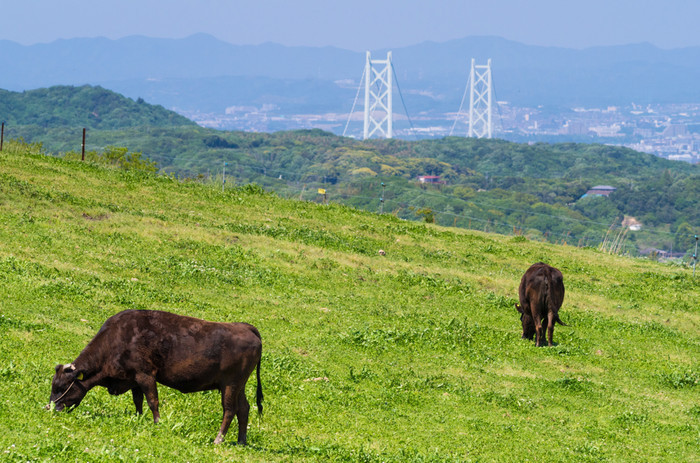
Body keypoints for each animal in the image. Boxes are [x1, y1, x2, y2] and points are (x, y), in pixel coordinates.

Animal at [47, 312, 264, 446]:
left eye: (61, 387)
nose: (50, 408)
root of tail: (245, 327)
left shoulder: (146, 375)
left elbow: (153, 401)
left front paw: (157, 423)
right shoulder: (133, 378)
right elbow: (138, 400)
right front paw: (138, 418)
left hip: (230, 384)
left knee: (229, 410)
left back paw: (218, 439)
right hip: (239, 386)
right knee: (244, 408)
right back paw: (241, 440)